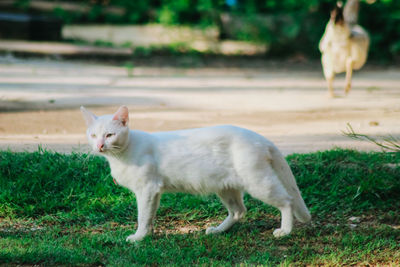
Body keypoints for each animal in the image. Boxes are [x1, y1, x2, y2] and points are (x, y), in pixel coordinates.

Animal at [81, 106, 310, 243]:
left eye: (109, 135)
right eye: (92, 135)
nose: (99, 145)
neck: (120, 155)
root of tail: (262, 138)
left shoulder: (147, 189)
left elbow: (142, 216)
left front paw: (138, 237)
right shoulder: (154, 192)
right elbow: (150, 216)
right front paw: (148, 235)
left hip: (258, 182)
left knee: (287, 201)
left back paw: (284, 231)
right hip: (226, 187)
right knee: (239, 211)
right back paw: (217, 231)